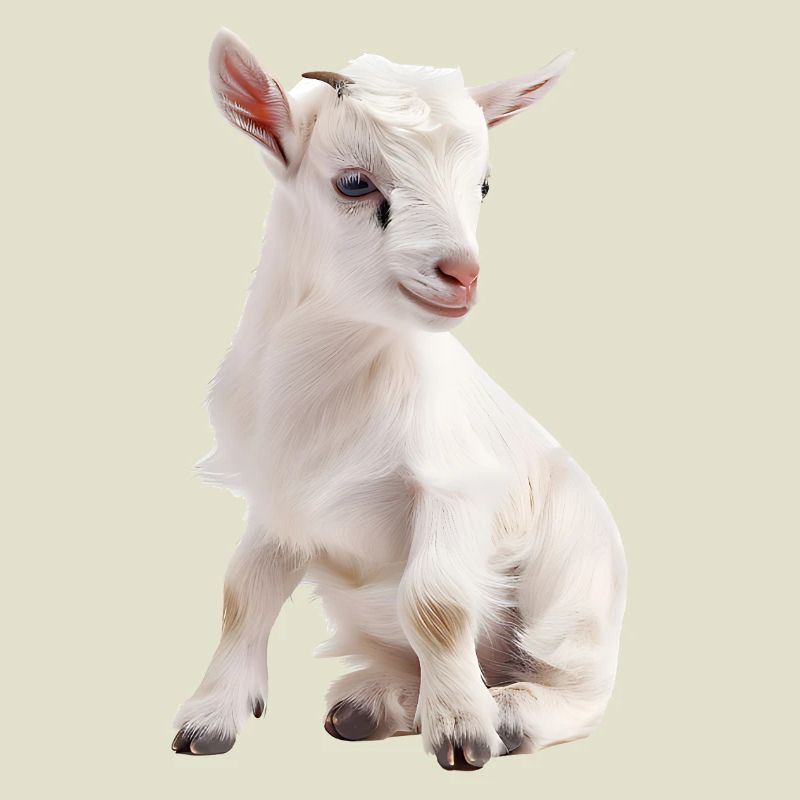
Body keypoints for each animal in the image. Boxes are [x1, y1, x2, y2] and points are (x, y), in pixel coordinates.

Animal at [172, 29, 627, 771]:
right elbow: (242, 593)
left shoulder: (452, 485)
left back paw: (509, 711)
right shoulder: (278, 501)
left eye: (483, 184)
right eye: (355, 182)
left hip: (573, 588)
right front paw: (209, 718)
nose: (462, 274)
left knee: (577, 683)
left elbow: (436, 604)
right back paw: (374, 704)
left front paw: (465, 731)